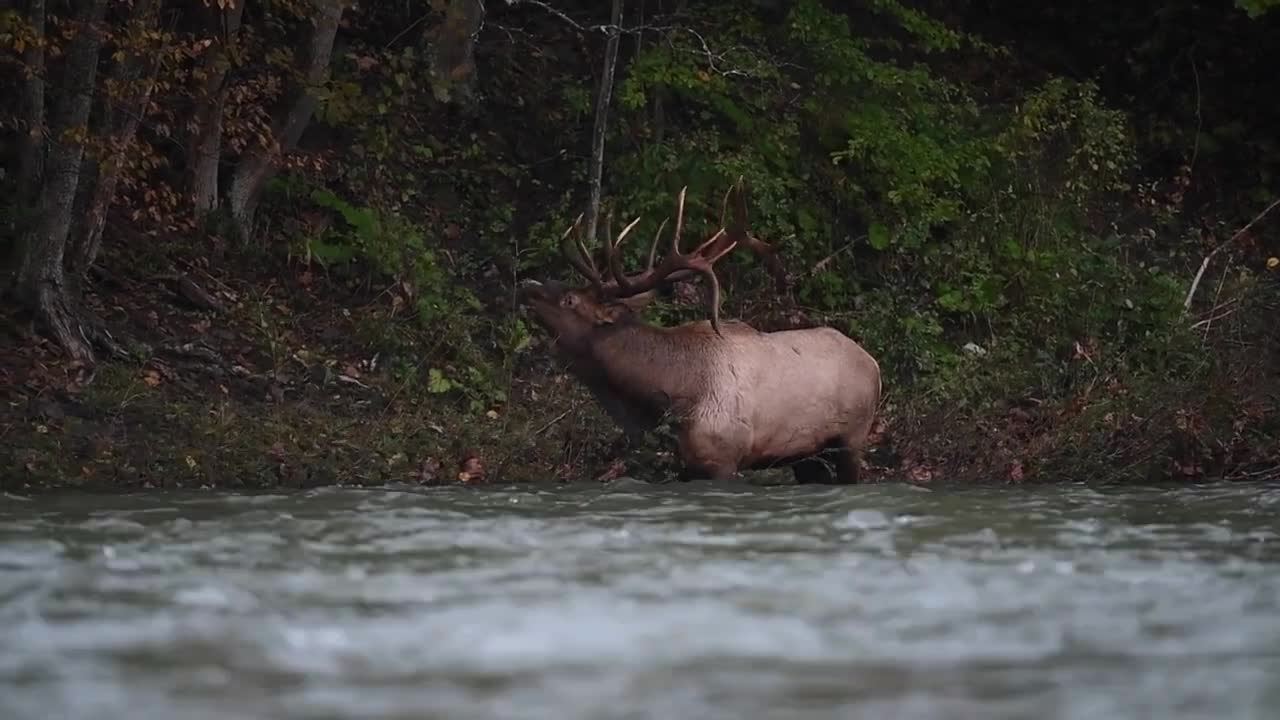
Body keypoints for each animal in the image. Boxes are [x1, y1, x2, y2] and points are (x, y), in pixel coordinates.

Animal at [519, 179, 880, 481]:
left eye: (569, 299)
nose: (529, 284)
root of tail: (874, 364)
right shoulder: (682, 466)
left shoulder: (723, 460)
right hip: (806, 455)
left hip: (851, 439)